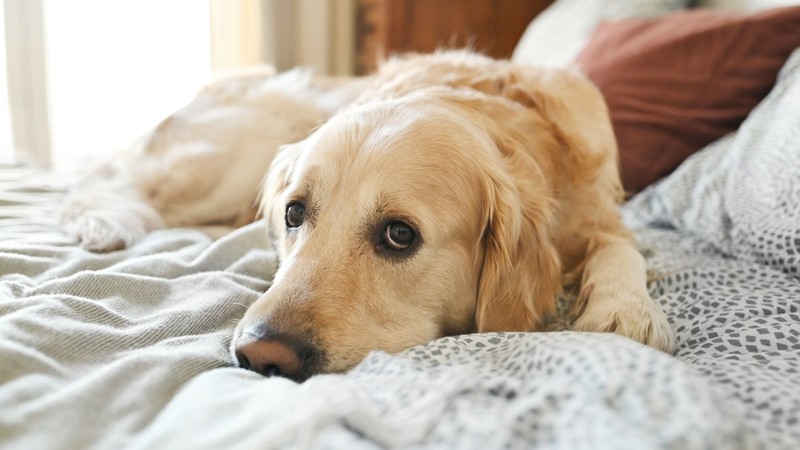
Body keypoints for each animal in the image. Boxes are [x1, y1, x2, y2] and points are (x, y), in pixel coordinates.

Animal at [61, 51, 676, 380]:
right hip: (232, 156)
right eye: (295, 213)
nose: (260, 355)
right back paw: (106, 224)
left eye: (399, 234)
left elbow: (620, 246)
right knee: (111, 177)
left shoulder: (601, 213)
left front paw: (624, 309)